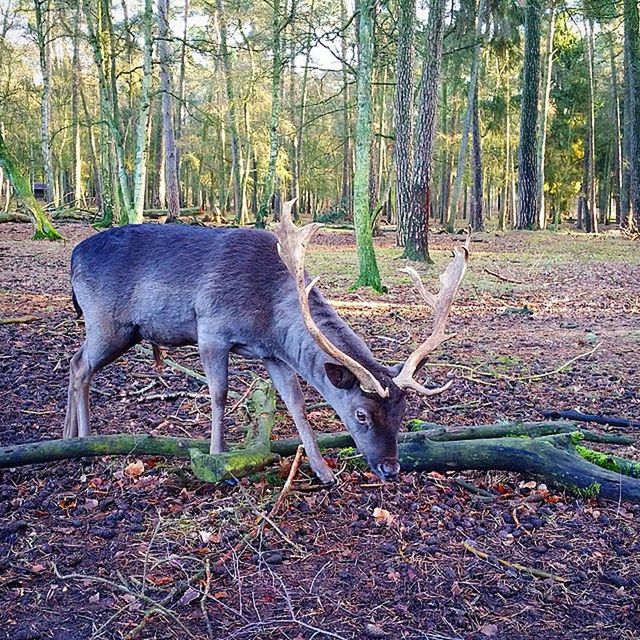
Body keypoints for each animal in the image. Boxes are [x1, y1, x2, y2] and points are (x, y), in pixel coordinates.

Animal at [62, 202, 468, 482]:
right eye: (361, 414)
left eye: (403, 413)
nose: (390, 468)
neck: (268, 313)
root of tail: (73, 256)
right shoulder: (211, 330)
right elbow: (219, 395)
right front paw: (217, 458)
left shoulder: (274, 355)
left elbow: (297, 405)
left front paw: (323, 472)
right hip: (108, 322)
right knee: (81, 365)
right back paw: (86, 444)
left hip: (112, 329)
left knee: (74, 361)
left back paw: (68, 438)